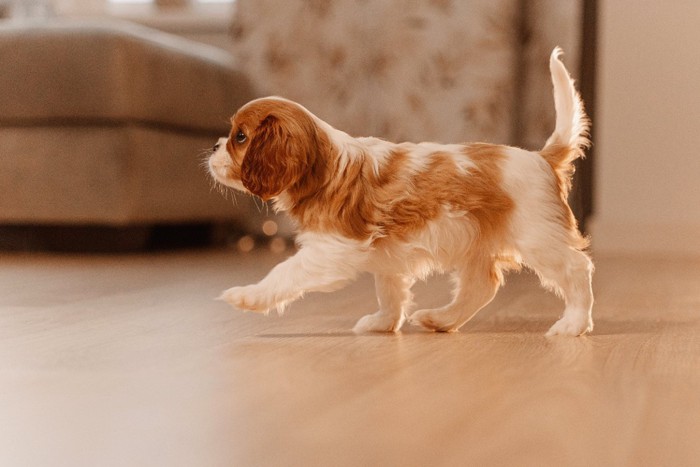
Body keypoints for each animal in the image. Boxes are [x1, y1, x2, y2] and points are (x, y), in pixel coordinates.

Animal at [206, 49, 592, 336]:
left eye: (240, 137)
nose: (213, 146)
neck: (325, 163)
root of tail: (542, 157)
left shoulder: (330, 251)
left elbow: (283, 272)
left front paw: (247, 296)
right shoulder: (385, 256)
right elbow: (389, 291)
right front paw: (384, 323)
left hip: (538, 238)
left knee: (576, 269)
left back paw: (573, 324)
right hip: (476, 245)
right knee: (481, 286)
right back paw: (441, 319)